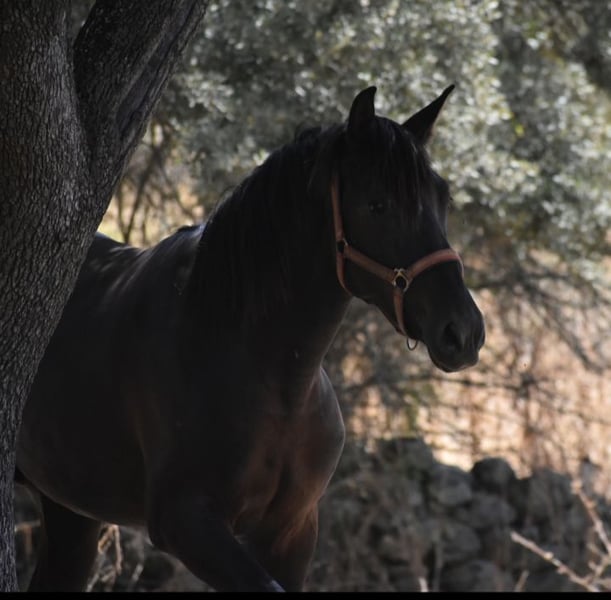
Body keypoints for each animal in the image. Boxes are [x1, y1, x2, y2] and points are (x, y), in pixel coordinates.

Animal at [16, 85, 485, 592]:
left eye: (443, 198)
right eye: (378, 205)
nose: (464, 332)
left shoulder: (292, 531)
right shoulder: (188, 523)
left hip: (71, 515)